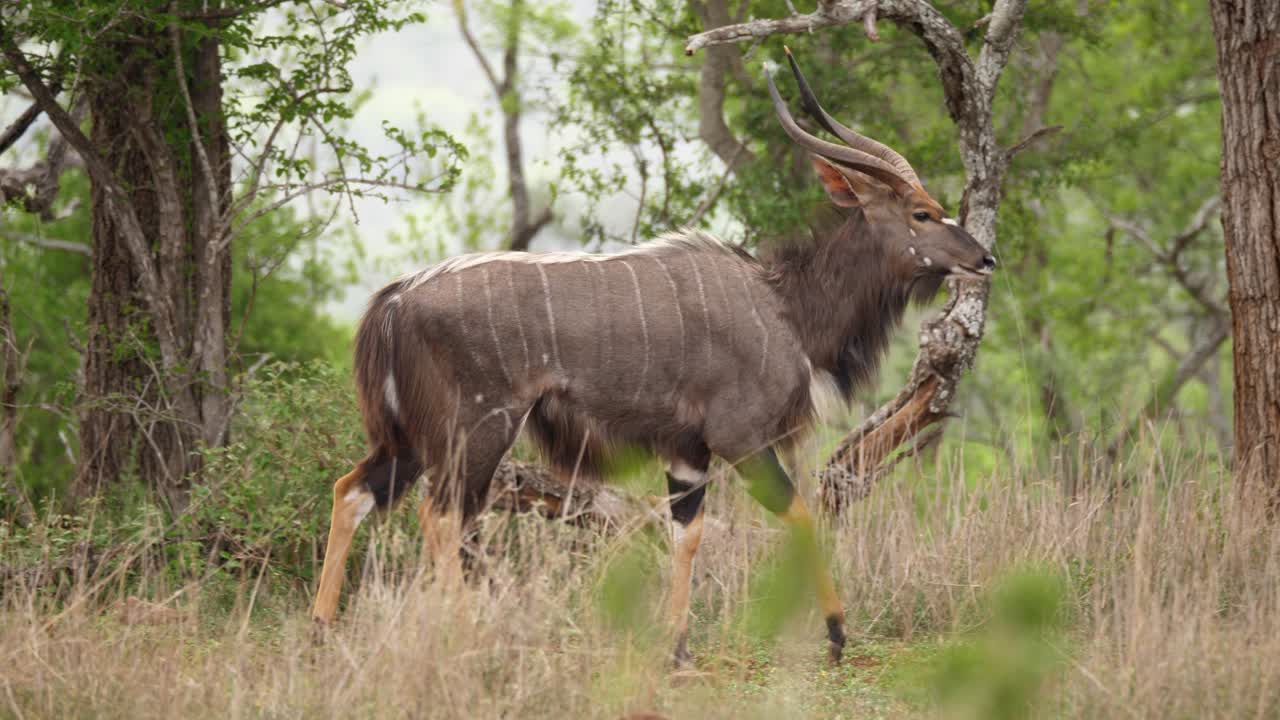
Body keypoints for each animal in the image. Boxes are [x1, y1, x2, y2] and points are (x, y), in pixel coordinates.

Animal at [311, 49, 995, 666]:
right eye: (923, 212)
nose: (985, 258)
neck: (784, 306)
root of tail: (396, 299)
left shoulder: (686, 452)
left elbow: (685, 535)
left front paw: (678, 649)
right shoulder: (740, 438)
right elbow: (799, 513)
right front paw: (835, 632)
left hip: (410, 439)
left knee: (353, 490)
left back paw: (325, 632)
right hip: (479, 430)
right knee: (441, 515)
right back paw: (466, 638)